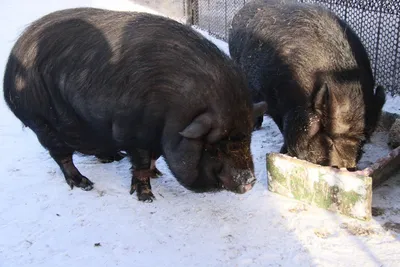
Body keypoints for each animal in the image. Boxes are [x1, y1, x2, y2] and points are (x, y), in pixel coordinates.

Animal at [3, 6, 268, 203]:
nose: (250, 182)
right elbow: (140, 164)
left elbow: (153, 158)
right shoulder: (133, 131)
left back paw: (113, 157)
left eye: (247, 138)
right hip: (42, 122)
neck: (174, 112)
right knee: (62, 156)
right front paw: (147, 197)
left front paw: (157, 173)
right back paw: (84, 184)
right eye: (215, 146)